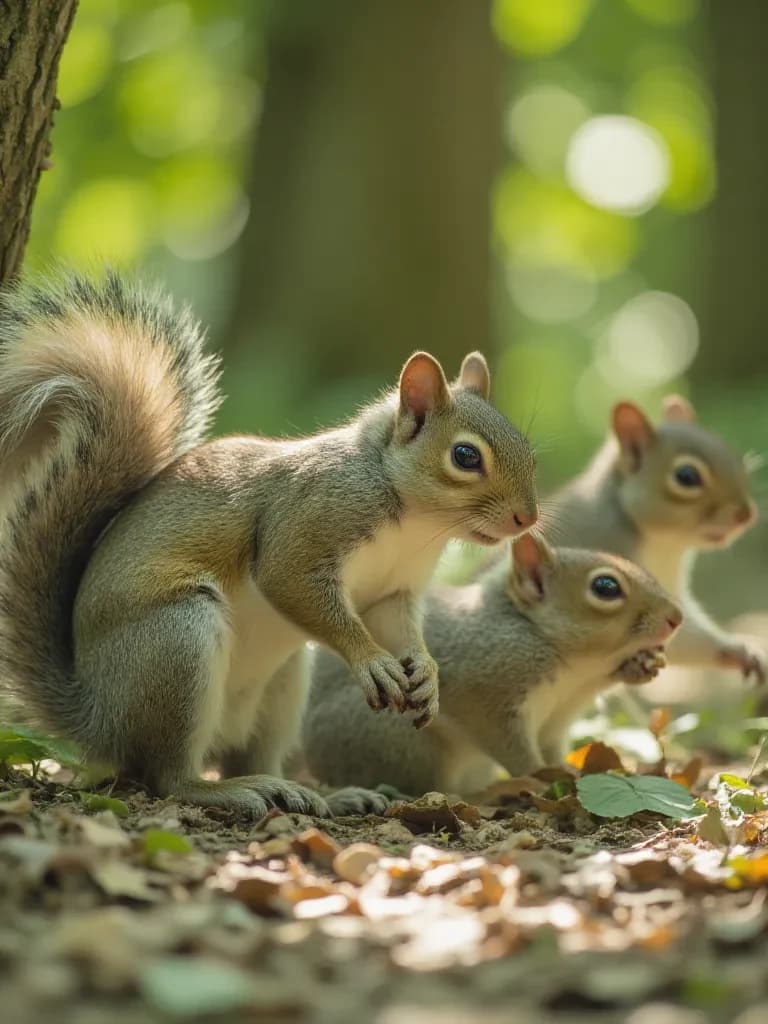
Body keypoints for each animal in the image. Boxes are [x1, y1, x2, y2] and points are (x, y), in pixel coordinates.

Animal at [0, 270, 538, 818]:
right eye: (466, 456)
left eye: (528, 450)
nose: (528, 517)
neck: (413, 523)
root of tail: (95, 716)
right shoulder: (305, 523)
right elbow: (288, 577)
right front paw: (371, 661)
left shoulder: (394, 591)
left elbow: (398, 626)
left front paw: (426, 672)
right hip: (175, 643)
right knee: (165, 776)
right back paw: (227, 790)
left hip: (284, 682)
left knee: (252, 756)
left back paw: (321, 793)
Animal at [301, 532, 682, 794]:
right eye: (606, 586)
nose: (676, 618)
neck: (576, 671)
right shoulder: (487, 693)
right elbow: (515, 752)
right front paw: (544, 779)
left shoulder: (555, 722)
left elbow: (552, 752)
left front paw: (643, 665)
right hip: (402, 742)